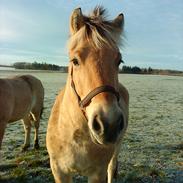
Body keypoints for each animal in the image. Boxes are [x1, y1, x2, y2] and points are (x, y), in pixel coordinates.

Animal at [45, 6, 129, 183]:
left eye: (119, 61)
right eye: (75, 61)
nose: (109, 124)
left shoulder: (97, 173)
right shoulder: (59, 171)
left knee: (112, 166)